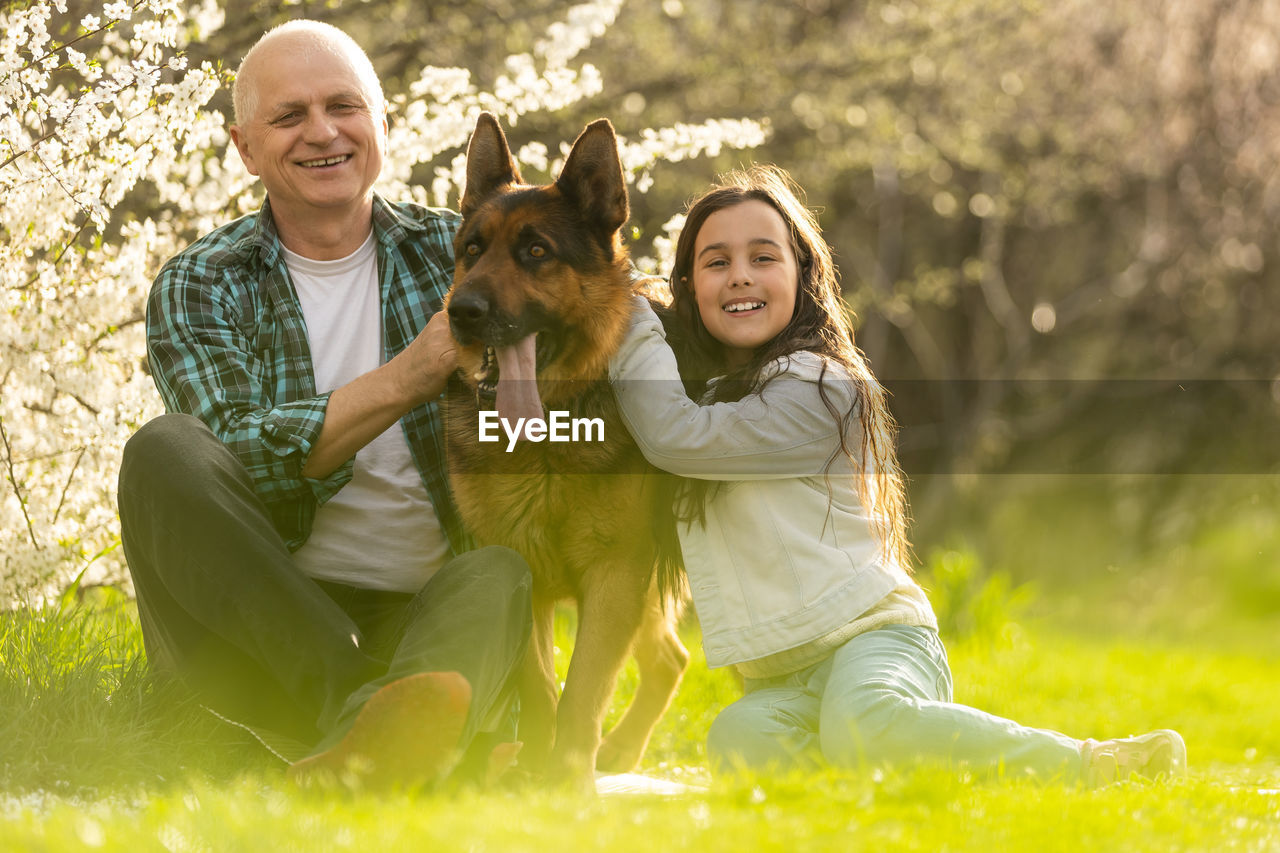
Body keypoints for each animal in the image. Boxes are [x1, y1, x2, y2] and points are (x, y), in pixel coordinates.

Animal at [448, 112, 696, 783]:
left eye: (537, 253)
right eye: (472, 250)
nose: (461, 311)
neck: (547, 443)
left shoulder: (615, 577)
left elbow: (583, 689)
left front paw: (566, 783)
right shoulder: (521, 572)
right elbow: (539, 684)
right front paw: (536, 771)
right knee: (670, 658)